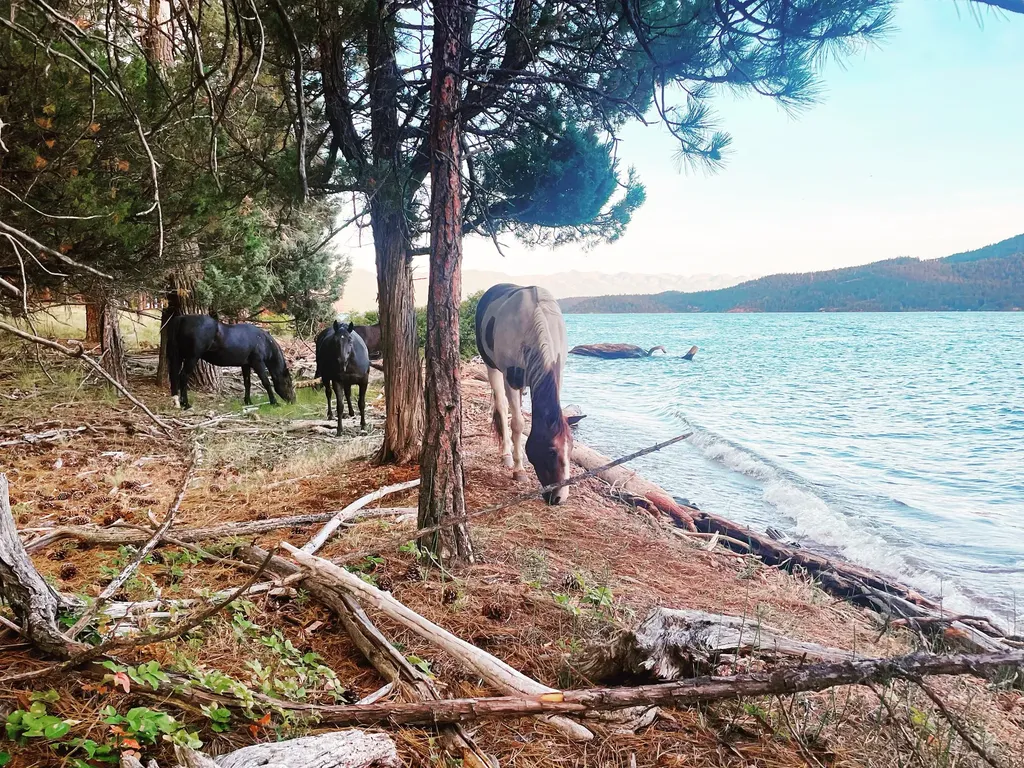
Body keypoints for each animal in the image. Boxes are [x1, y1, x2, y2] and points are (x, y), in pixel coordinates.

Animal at [167, 314, 295, 410]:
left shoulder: (246, 365)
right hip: (192, 357)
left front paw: (248, 401)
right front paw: (274, 402)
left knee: (175, 376)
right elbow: (266, 382)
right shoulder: (257, 363)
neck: (262, 341)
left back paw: (177, 401)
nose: (293, 400)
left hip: (179, 357)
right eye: (288, 383)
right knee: (183, 376)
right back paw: (186, 404)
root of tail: (182, 318)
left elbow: (247, 383)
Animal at [475, 283, 573, 505]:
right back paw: (507, 455)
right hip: (492, 367)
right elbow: (518, 424)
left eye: (571, 448)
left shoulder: (558, 375)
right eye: (551, 451)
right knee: (502, 408)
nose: (560, 497)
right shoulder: (511, 379)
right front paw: (519, 469)